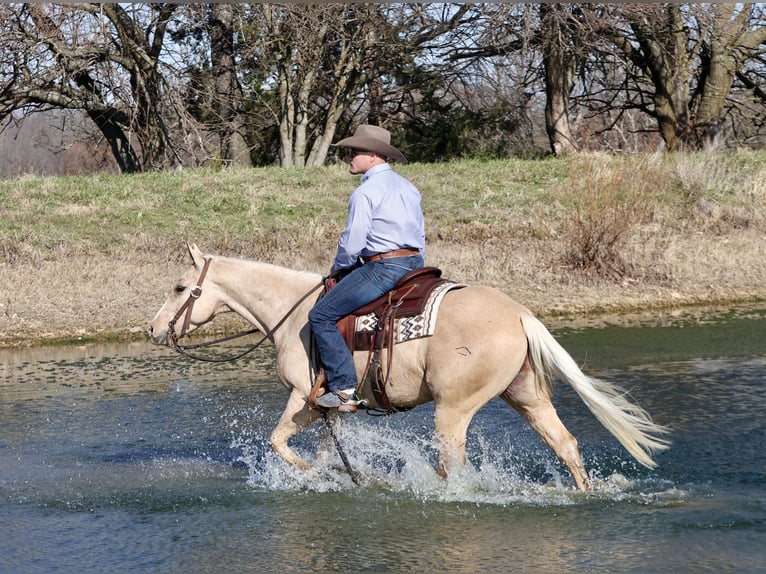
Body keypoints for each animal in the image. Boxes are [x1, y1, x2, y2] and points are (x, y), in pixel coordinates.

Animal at [147, 243, 668, 490]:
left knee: (451, 463)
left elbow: (279, 443)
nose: (152, 329)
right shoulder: (332, 409)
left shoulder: (305, 398)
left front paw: (330, 477)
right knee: (566, 445)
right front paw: (342, 479)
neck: (293, 315)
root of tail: (520, 313)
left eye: (179, 287)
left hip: (453, 409)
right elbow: (323, 454)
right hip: (525, 396)